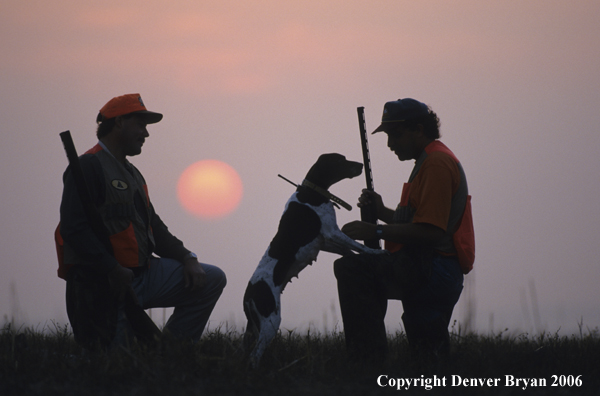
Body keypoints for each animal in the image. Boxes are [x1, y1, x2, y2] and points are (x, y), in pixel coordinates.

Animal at [244, 153, 384, 366]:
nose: (361, 164)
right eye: (339, 160)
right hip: (270, 321)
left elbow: (348, 249)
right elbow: (358, 245)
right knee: (254, 356)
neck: (312, 191)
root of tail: (249, 294)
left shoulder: (324, 241)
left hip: (253, 326)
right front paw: (375, 252)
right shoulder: (332, 231)